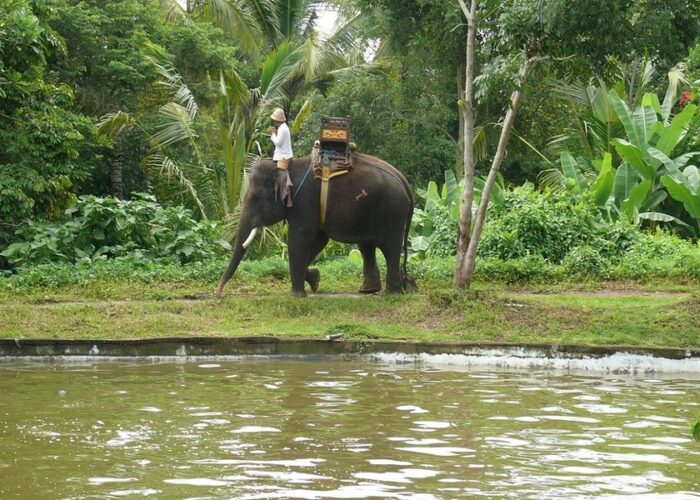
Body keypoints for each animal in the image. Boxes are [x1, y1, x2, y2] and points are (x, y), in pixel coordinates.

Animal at [216, 153, 412, 296]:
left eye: (256, 198)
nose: (218, 293)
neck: (287, 167)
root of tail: (404, 181)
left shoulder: (304, 202)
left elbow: (299, 239)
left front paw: (297, 295)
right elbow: (318, 241)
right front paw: (315, 280)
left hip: (392, 210)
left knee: (390, 247)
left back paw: (392, 293)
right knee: (367, 246)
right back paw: (369, 290)